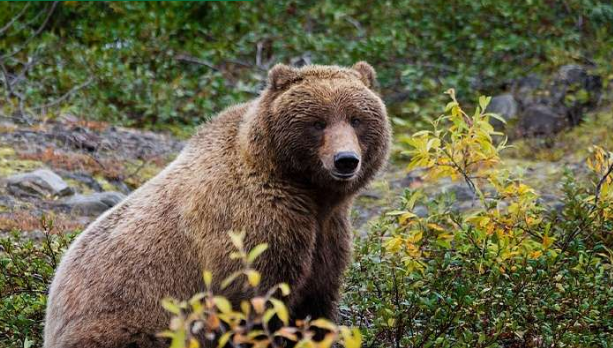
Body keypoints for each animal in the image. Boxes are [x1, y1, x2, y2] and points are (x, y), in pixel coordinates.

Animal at [43, 62, 390, 348]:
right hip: (125, 319)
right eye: (318, 122)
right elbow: (255, 302)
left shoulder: (327, 235)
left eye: (356, 119)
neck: (307, 191)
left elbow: (316, 306)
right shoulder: (251, 225)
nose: (346, 160)